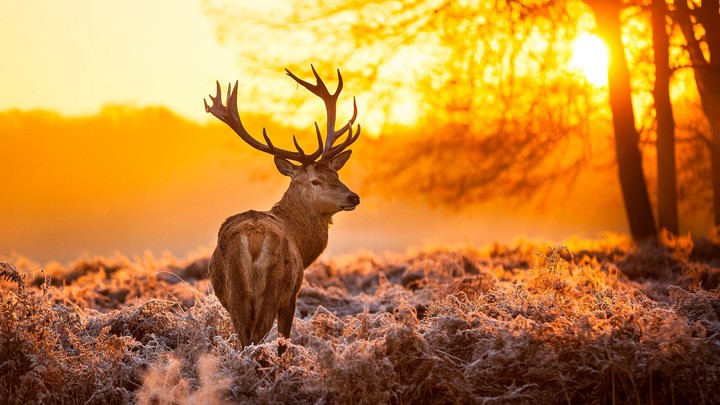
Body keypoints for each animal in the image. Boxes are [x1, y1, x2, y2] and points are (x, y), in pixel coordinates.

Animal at [204, 66, 360, 356]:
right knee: (256, 338)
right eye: (315, 180)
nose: (353, 196)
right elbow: (283, 342)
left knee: (244, 338)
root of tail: (253, 237)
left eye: (336, 174)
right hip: (273, 288)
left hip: (234, 293)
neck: (302, 242)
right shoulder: (292, 295)